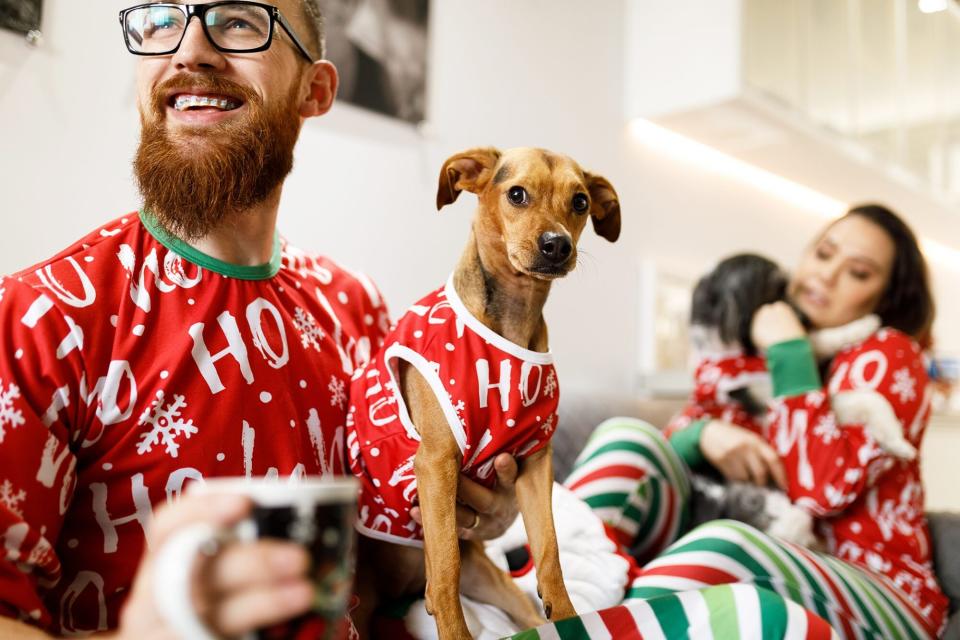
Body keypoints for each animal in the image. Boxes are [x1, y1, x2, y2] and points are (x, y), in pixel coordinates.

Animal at [348, 148, 620, 636]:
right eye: (517, 194)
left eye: (581, 202)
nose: (557, 245)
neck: (512, 319)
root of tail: (397, 591)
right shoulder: (436, 462)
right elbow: (446, 568)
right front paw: (455, 632)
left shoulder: (534, 462)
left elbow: (548, 549)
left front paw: (567, 617)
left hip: (494, 582)